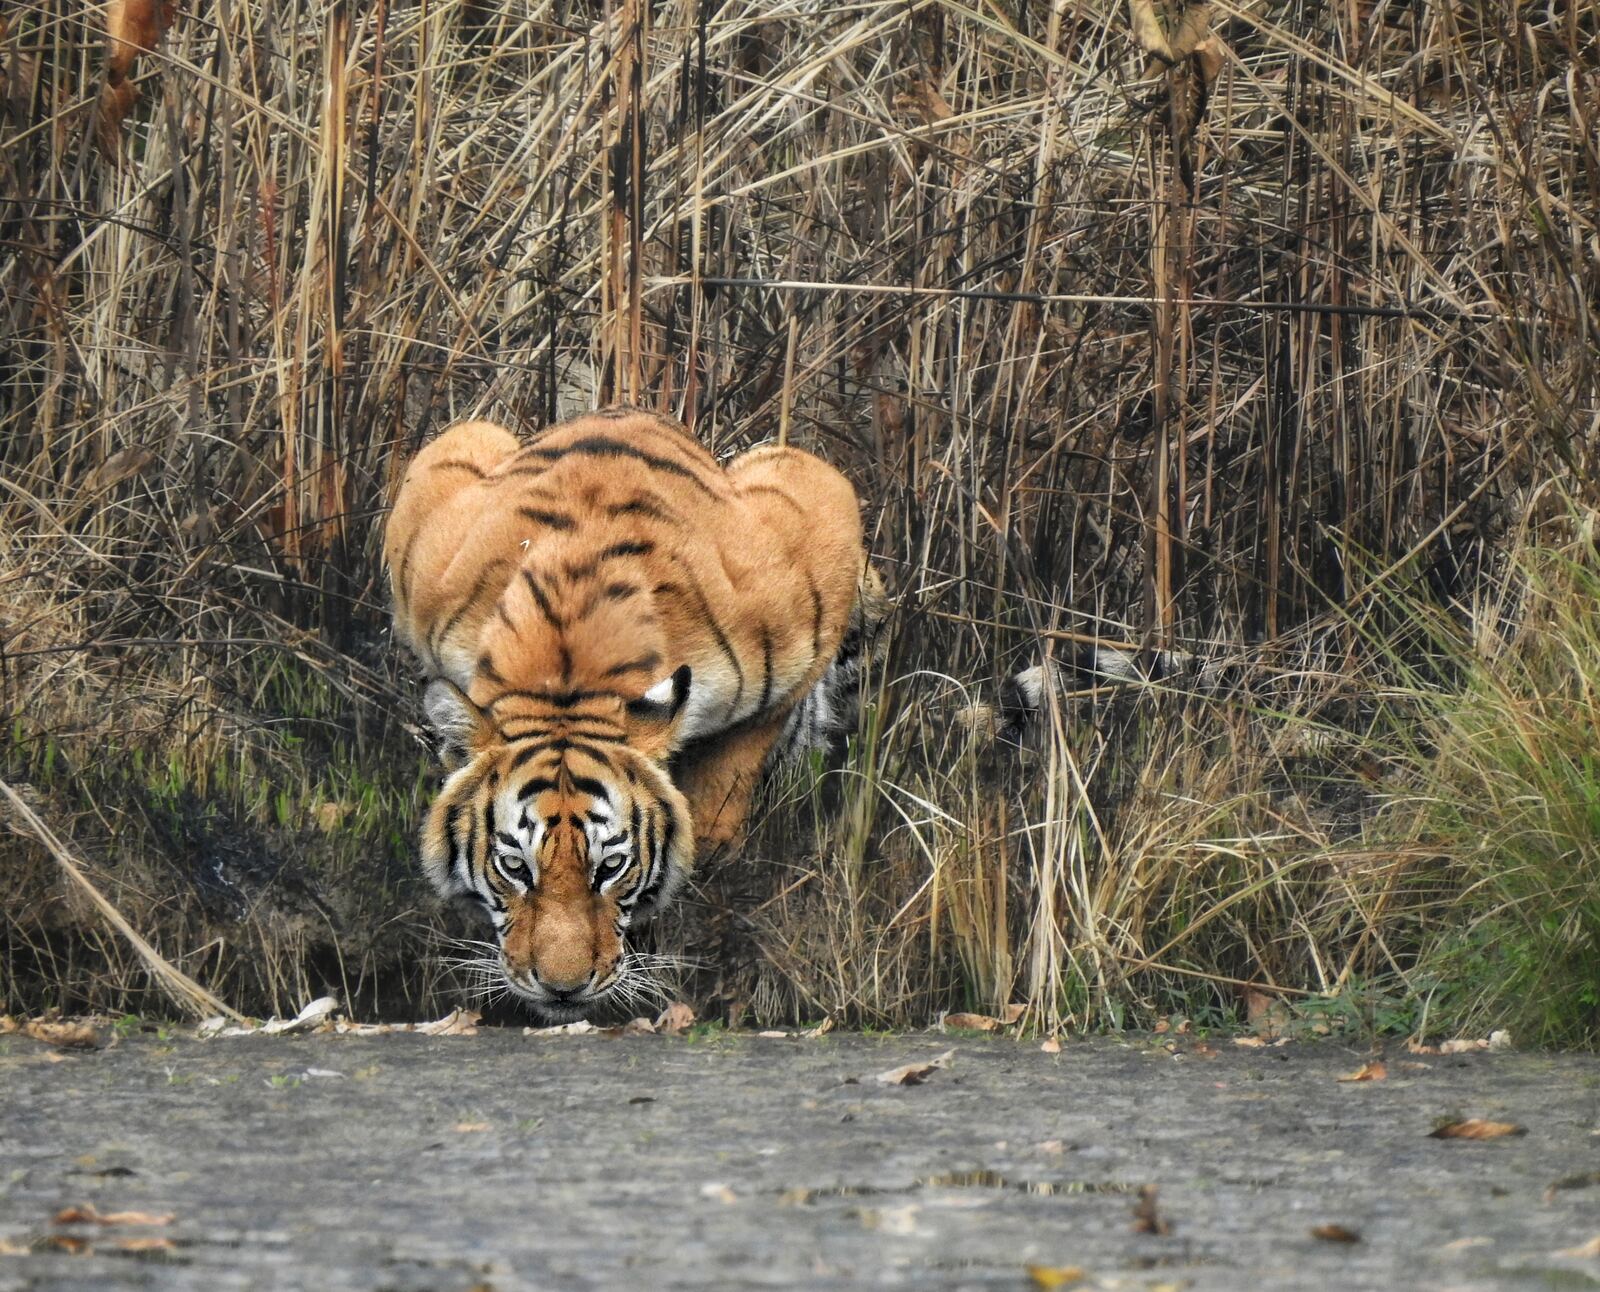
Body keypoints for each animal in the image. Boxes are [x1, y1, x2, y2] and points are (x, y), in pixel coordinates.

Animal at [382, 407, 882, 1018]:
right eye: (514, 867)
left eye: (611, 867)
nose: (563, 987)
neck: (569, 687)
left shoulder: (811, 551)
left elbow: (727, 786)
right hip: (462, 439)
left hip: (789, 467)